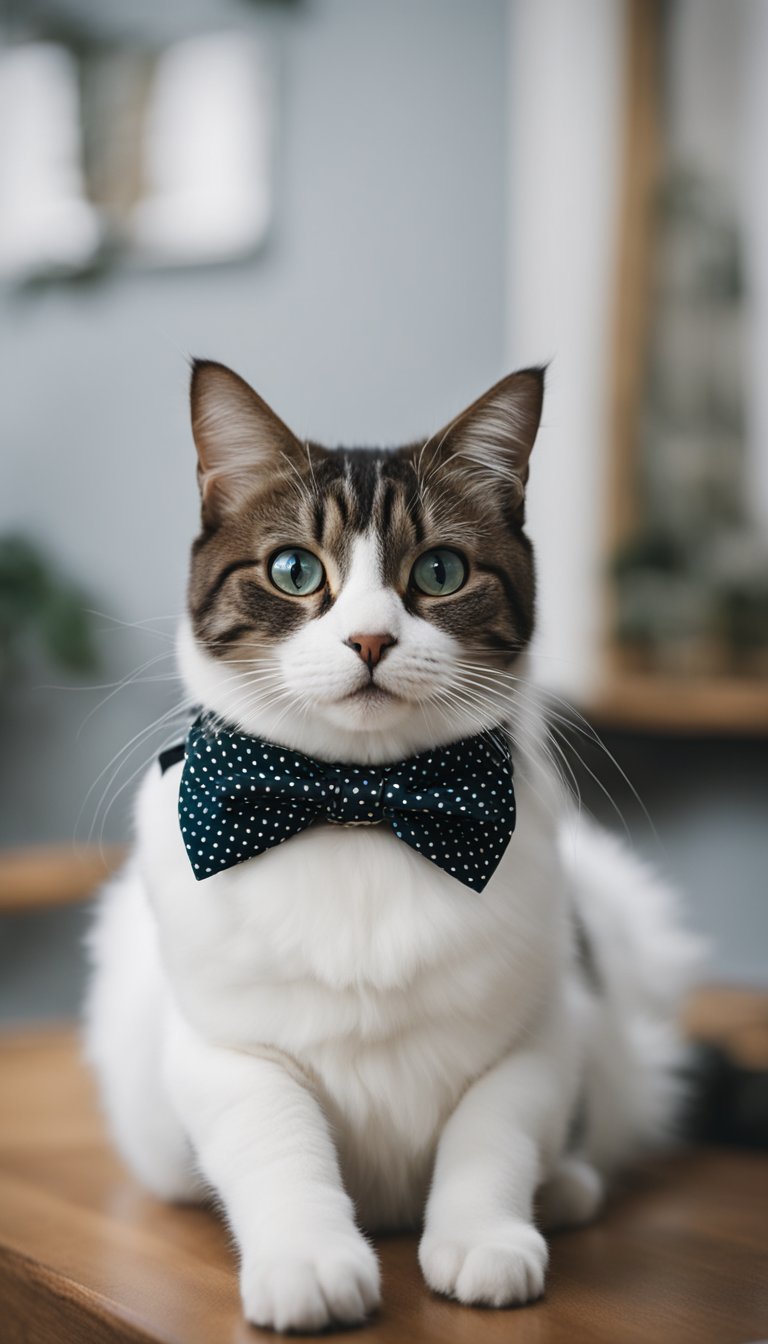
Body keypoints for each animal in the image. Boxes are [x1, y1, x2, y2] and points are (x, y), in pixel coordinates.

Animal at [84, 360, 704, 1333]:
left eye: (440, 571)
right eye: (295, 570)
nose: (370, 639)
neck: (363, 809)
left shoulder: (535, 1035)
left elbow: (490, 1137)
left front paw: (484, 1237)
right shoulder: (231, 1053)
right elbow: (278, 1147)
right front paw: (308, 1260)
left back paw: (565, 1187)